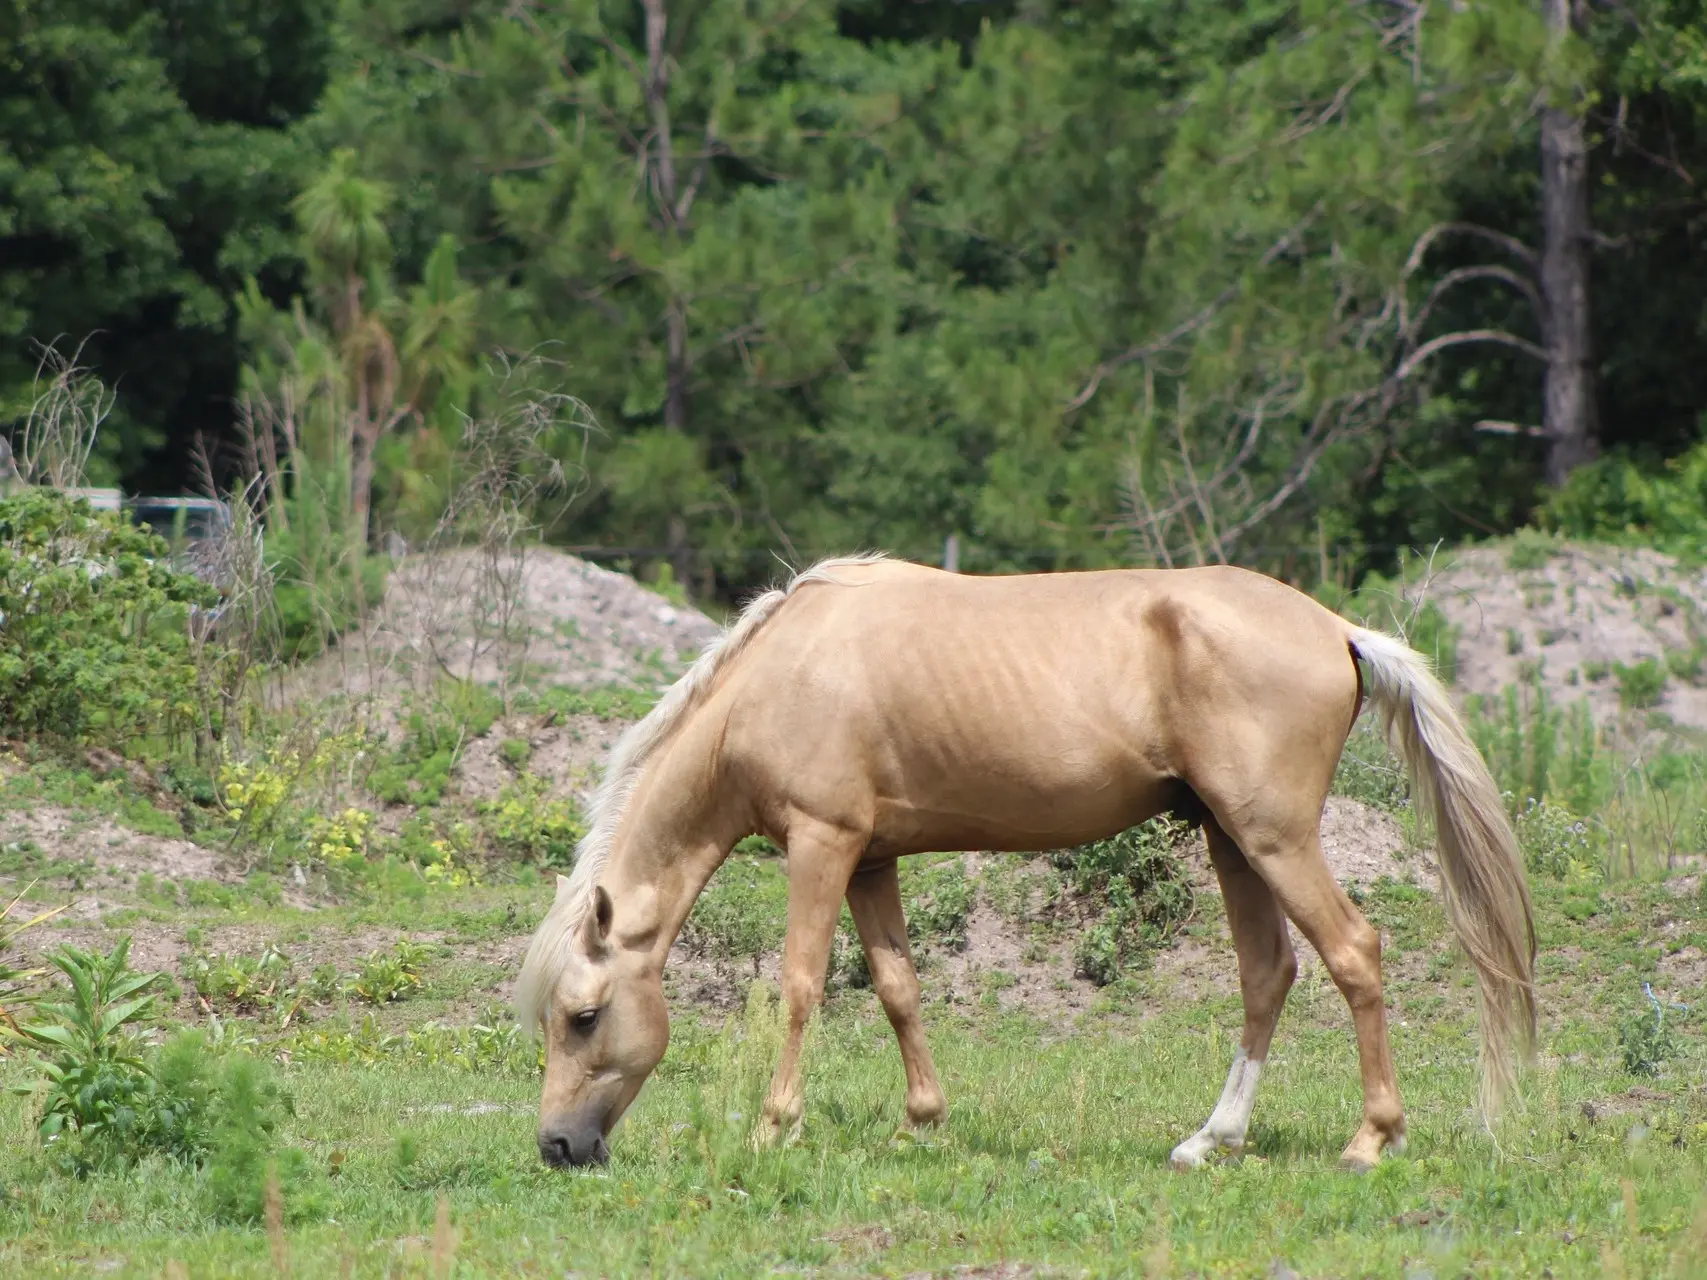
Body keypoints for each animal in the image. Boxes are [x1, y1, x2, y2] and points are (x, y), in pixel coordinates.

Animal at [512, 552, 1543, 1174]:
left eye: (584, 1016)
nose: (558, 1144)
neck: (779, 674)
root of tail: (1336, 628)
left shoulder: (821, 843)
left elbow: (802, 983)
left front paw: (775, 1124)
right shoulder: (871, 860)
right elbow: (897, 987)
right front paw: (920, 1121)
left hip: (1273, 837)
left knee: (1353, 953)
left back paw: (1370, 1139)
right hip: (1231, 839)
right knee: (1268, 972)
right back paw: (1209, 1140)